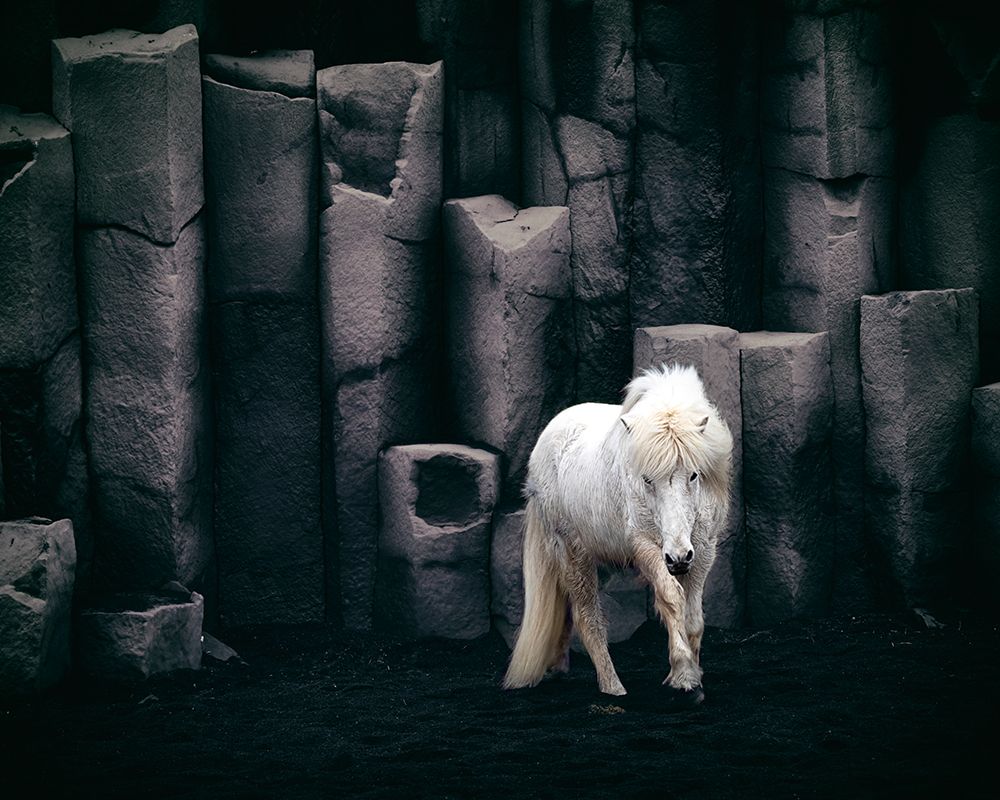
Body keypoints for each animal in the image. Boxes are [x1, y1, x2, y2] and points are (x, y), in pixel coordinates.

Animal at [503, 363, 733, 699]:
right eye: (647, 479)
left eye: (693, 475)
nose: (678, 558)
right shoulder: (648, 548)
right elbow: (671, 599)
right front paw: (684, 675)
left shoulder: (703, 550)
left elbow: (693, 619)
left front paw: (691, 673)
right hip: (574, 554)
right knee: (588, 617)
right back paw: (613, 687)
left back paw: (558, 667)